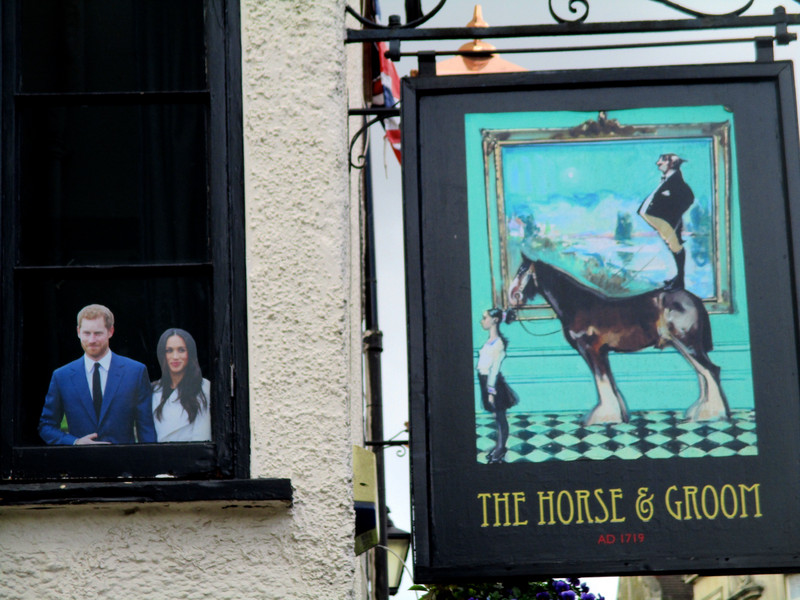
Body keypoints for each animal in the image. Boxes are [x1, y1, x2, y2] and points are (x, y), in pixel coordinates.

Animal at [510, 258, 728, 426]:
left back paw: (711, 413)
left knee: (710, 370)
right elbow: (609, 382)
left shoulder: (591, 350)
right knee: (702, 373)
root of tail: (693, 300)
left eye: (522, 272)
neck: (580, 305)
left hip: (687, 343)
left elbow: (601, 381)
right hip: (683, 345)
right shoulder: (601, 352)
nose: (512, 297)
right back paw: (697, 411)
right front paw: (619, 415)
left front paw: (603, 417)